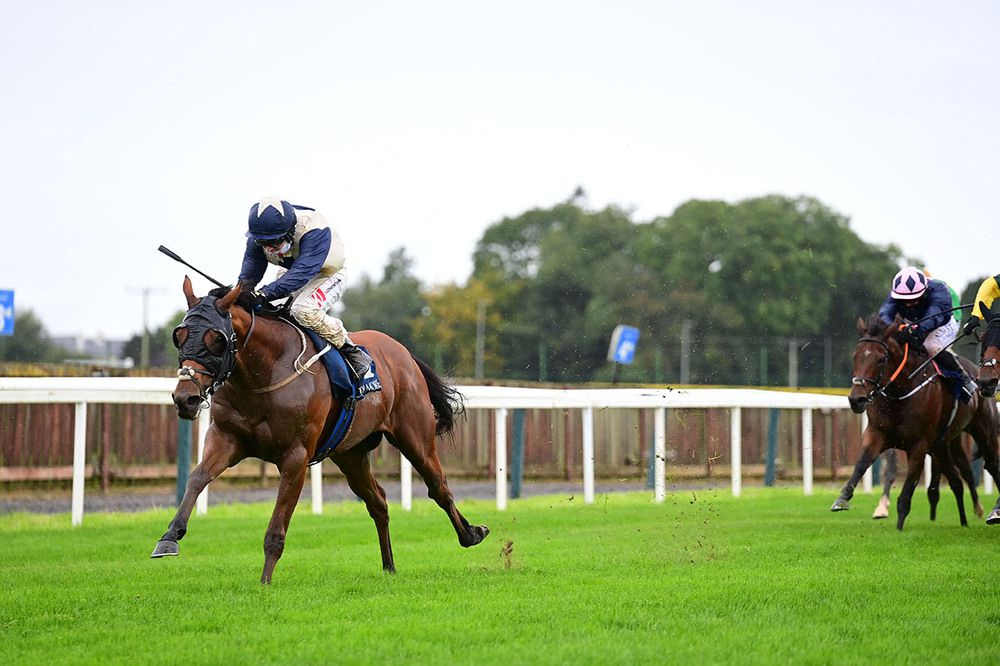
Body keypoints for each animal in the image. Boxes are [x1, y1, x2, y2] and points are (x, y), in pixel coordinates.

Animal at [151, 277, 489, 583]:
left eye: (217, 339)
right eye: (179, 335)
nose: (185, 398)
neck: (263, 374)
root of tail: (404, 352)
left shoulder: (296, 457)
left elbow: (277, 528)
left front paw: (265, 583)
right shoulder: (226, 438)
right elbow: (198, 477)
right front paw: (169, 537)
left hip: (415, 437)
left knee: (438, 487)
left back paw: (472, 533)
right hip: (350, 454)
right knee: (378, 501)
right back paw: (389, 566)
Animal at [831, 314, 1000, 530]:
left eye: (880, 359)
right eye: (855, 356)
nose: (856, 399)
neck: (900, 393)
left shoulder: (919, 445)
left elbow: (907, 492)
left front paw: (899, 528)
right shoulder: (877, 434)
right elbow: (862, 463)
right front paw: (843, 498)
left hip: (982, 432)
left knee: (989, 465)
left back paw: (989, 512)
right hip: (942, 445)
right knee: (956, 480)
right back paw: (963, 521)